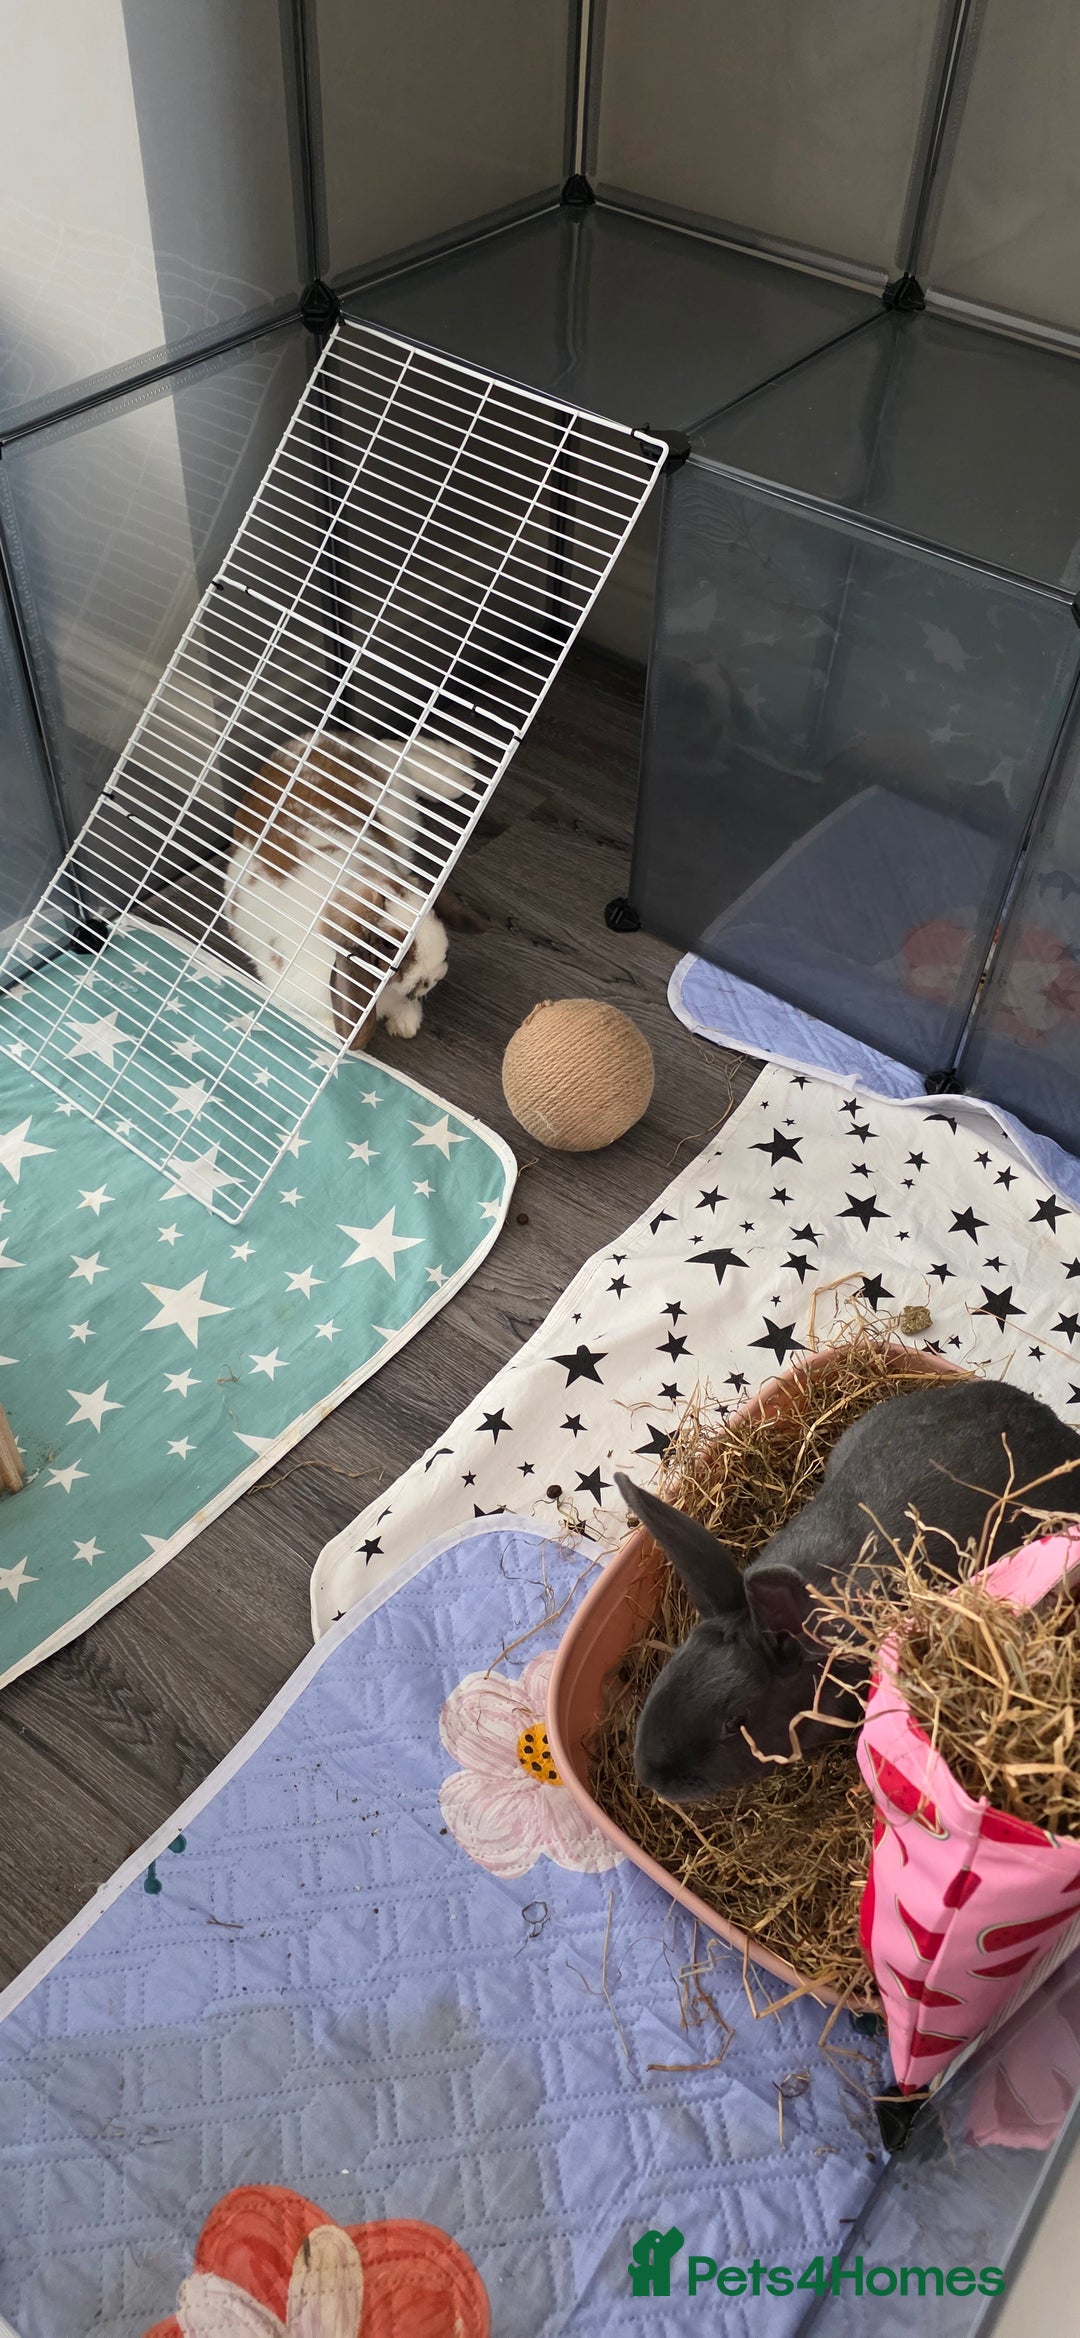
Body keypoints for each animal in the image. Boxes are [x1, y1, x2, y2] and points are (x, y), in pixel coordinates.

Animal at [225, 728, 475, 1045]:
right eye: (387, 945)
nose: (439, 972)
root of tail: (318, 738)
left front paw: (405, 1023)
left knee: (401, 751)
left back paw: (463, 779)